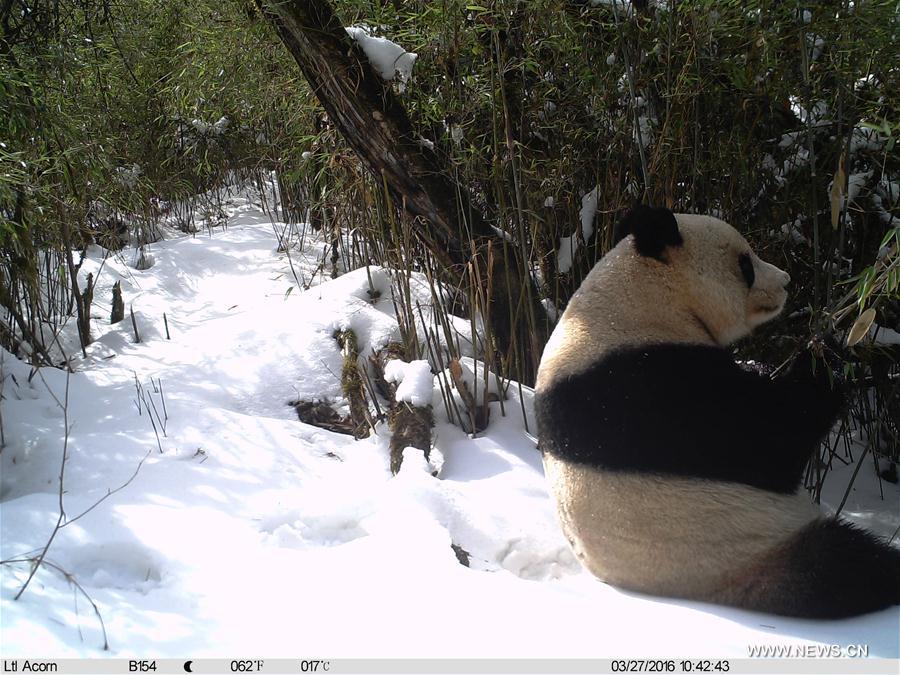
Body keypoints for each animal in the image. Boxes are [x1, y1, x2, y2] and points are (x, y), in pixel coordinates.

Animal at [536, 205, 900, 616]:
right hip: (745, 550)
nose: (786, 281)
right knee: (846, 568)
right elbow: (767, 440)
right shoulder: (646, 386)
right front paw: (829, 352)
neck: (641, 299)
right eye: (746, 264)